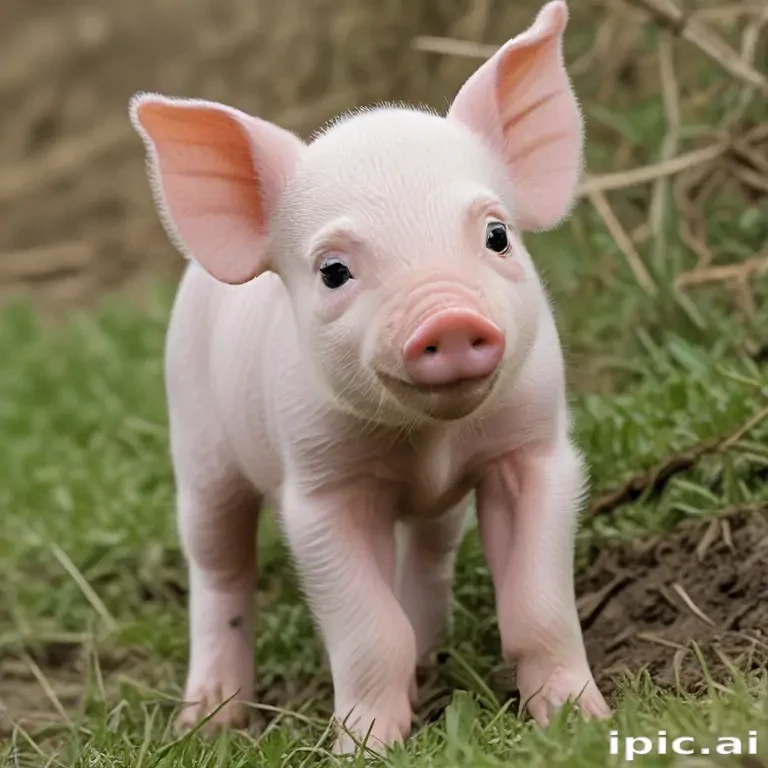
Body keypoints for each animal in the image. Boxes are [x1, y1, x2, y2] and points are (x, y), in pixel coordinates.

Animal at [129, 0, 610, 753]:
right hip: (198, 444)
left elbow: (539, 608)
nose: (448, 317)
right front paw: (365, 748)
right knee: (218, 567)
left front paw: (580, 723)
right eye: (333, 271)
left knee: (430, 548)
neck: (429, 442)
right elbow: (367, 633)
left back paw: (429, 655)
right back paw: (208, 721)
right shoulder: (320, 489)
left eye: (497, 235)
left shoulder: (533, 450)